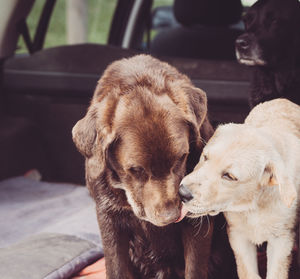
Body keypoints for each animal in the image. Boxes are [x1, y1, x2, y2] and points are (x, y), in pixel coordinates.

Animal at [72, 55, 232, 279]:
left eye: (182, 157)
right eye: (135, 170)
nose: (171, 217)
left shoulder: (197, 222)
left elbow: (194, 268)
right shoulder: (109, 219)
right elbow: (116, 267)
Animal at [178, 99, 300, 279]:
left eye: (229, 176)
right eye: (205, 157)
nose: (182, 193)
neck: (254, 205)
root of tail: (281, 100)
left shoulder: (282, 240)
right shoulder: (238, 236)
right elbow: (248, 273)